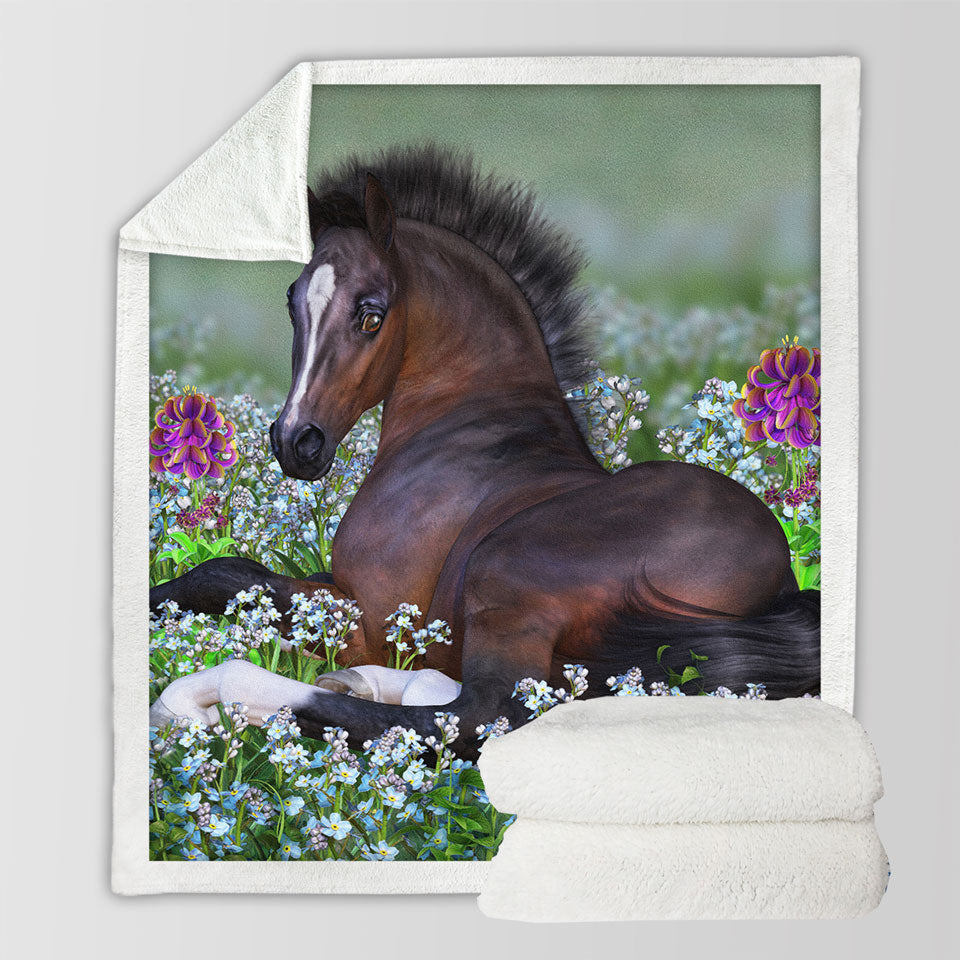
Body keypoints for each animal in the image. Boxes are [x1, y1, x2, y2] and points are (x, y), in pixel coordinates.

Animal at [149, 145, 820, 759]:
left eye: (371, 315)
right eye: (292, 302)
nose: (296, 442)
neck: (466, 426)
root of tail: (778, 584)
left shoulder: (371, 615)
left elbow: (234, 577)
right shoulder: (339, 592)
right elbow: (230, 574)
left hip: (507, 569)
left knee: (480, 716)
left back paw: (210, 695)